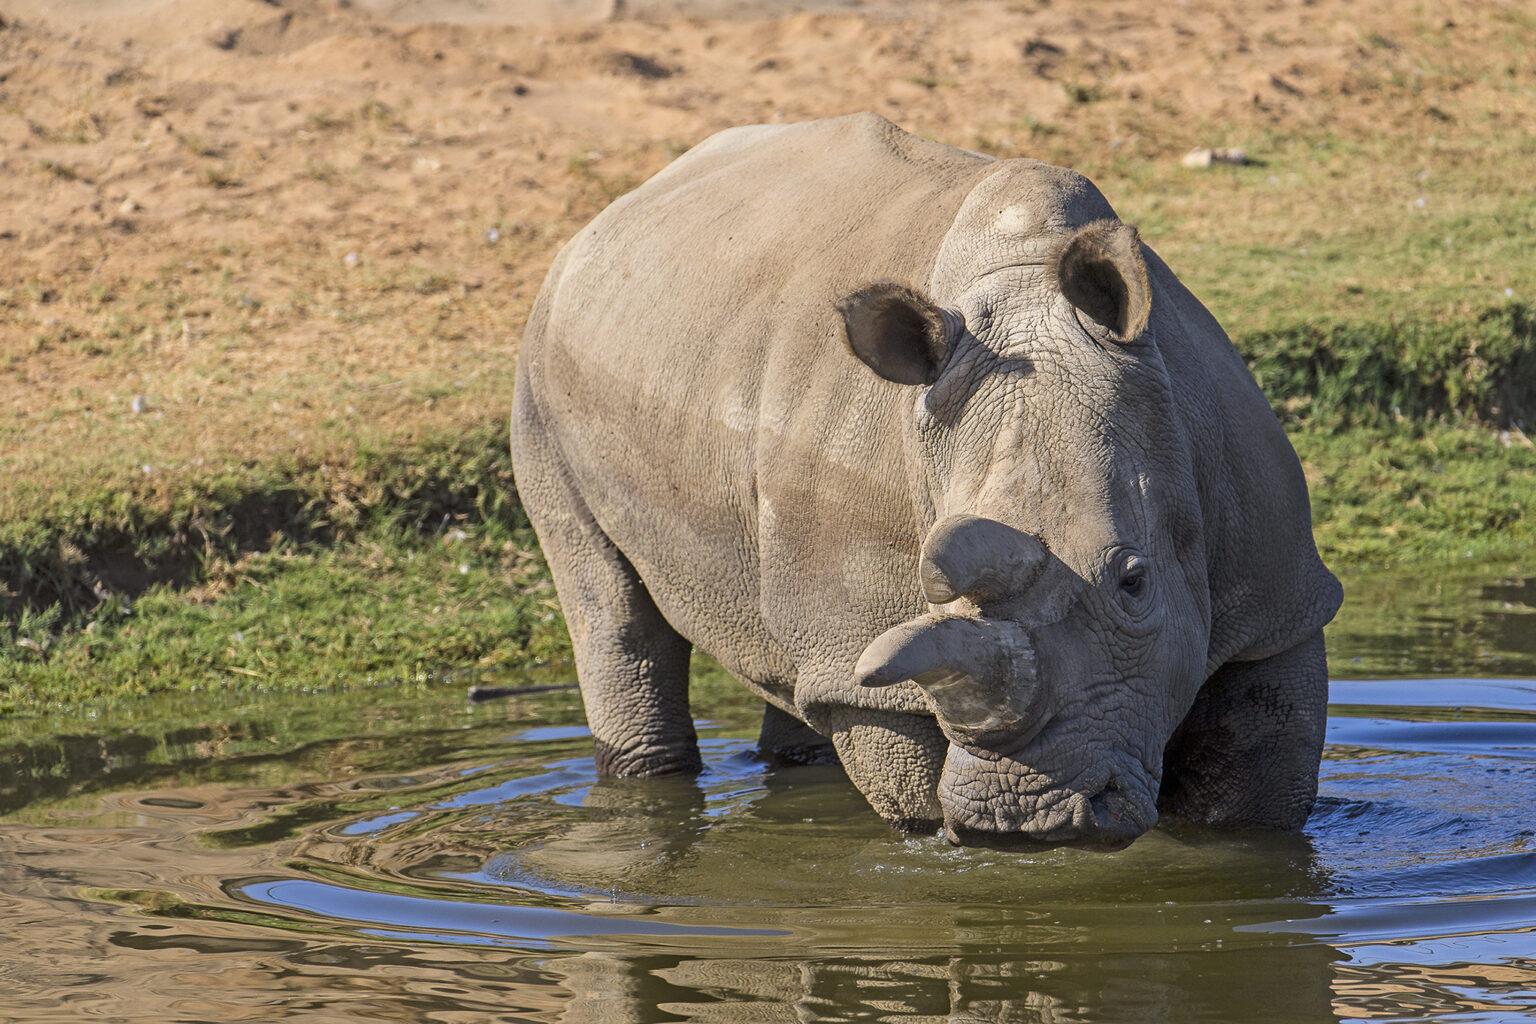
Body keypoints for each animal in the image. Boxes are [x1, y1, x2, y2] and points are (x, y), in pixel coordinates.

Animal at [509, 112, 1339, 847]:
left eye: (1135, 582)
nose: (1020, 817)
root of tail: (619, 206)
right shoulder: (872, 666)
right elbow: (909, 791)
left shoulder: (1277, 605)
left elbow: (1249, 805)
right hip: (541, 363)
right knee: (612, 605)